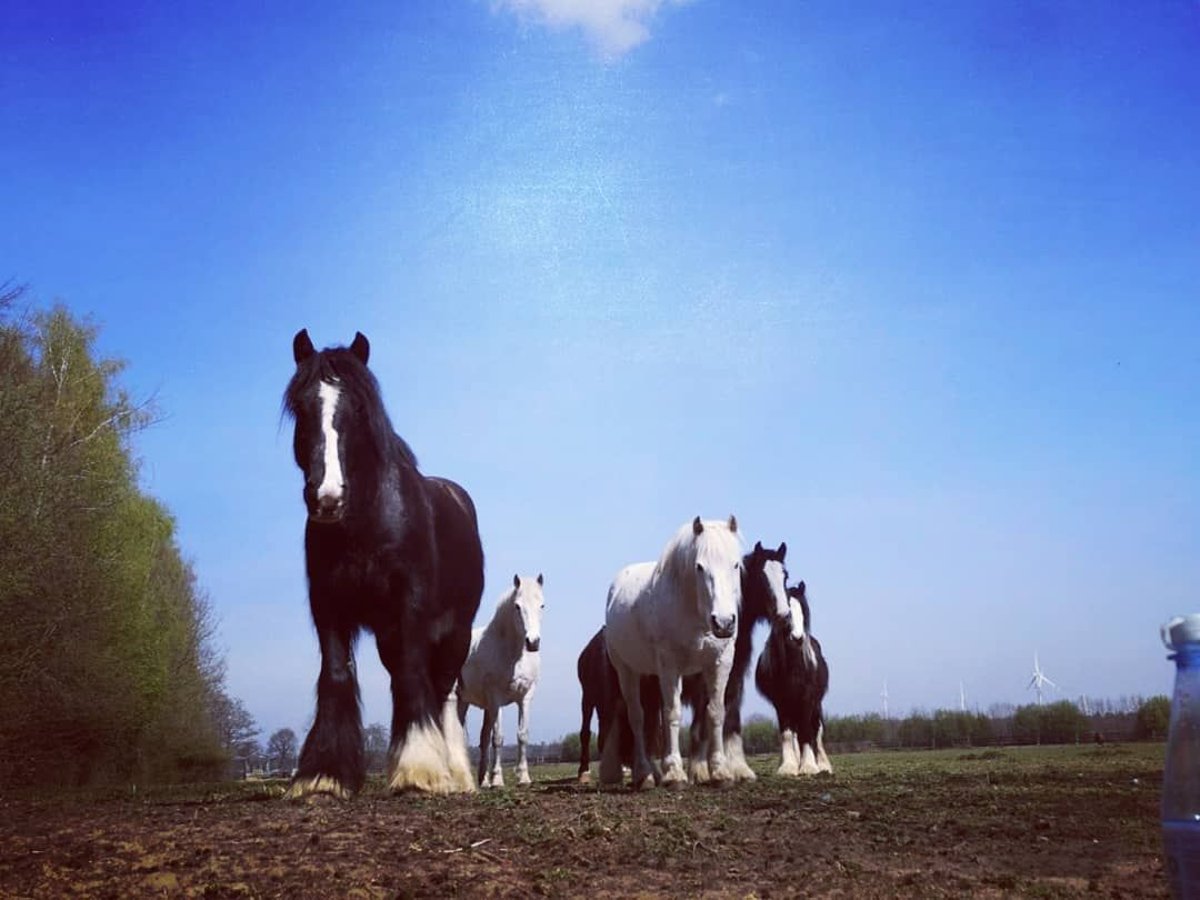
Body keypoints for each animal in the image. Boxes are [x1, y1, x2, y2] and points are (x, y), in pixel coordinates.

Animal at [283, 328, 484, 796]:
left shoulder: (410, 603)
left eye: (357, 408)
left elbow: (415, 675)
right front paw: (324, 774)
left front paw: (420, 769)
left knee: (443, 691)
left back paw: (456, 771)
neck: (368, 522)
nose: (327, 497)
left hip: (456, 631)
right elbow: (337, 674)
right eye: (300, 406)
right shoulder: (328, 606)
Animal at [458, 578, 544, 787]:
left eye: (542, 605)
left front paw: (523, 778)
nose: (533, 642)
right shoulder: (496, 699)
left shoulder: (525, 698)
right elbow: (498, 738)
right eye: (517, 606)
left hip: (472, 704)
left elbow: (522, 735)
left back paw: (482, 782)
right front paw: (497, 779)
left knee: (479, 737)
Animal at [600, 518, 739, 792]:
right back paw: (644, 775)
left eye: (736, 564)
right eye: (699, 567)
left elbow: (715, 712)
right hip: (628, 671)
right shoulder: (670, 666)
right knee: (638, 717)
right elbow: (673, 713)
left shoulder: (719, 664)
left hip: (653, 676)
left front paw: (721, 772)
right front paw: (675, 775)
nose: (724, 623)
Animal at [681, 542, 792, 782]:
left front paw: (739, 768)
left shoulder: (734, 679)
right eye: (762, 577)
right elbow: (701, 725)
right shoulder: (704, 684)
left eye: (785, 576)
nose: (784, 616)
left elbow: (730, 720)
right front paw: (700, 771)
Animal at [753, 580, 830, 777]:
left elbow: (807, 731)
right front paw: (788, 767)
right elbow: (787, 733)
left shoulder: (807, 699)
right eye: (785, 614)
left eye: (804, 612)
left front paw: (809, 766)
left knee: (817, 731)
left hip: (815, 704)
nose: (797, 638)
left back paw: (823, 766)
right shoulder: (781, 702)